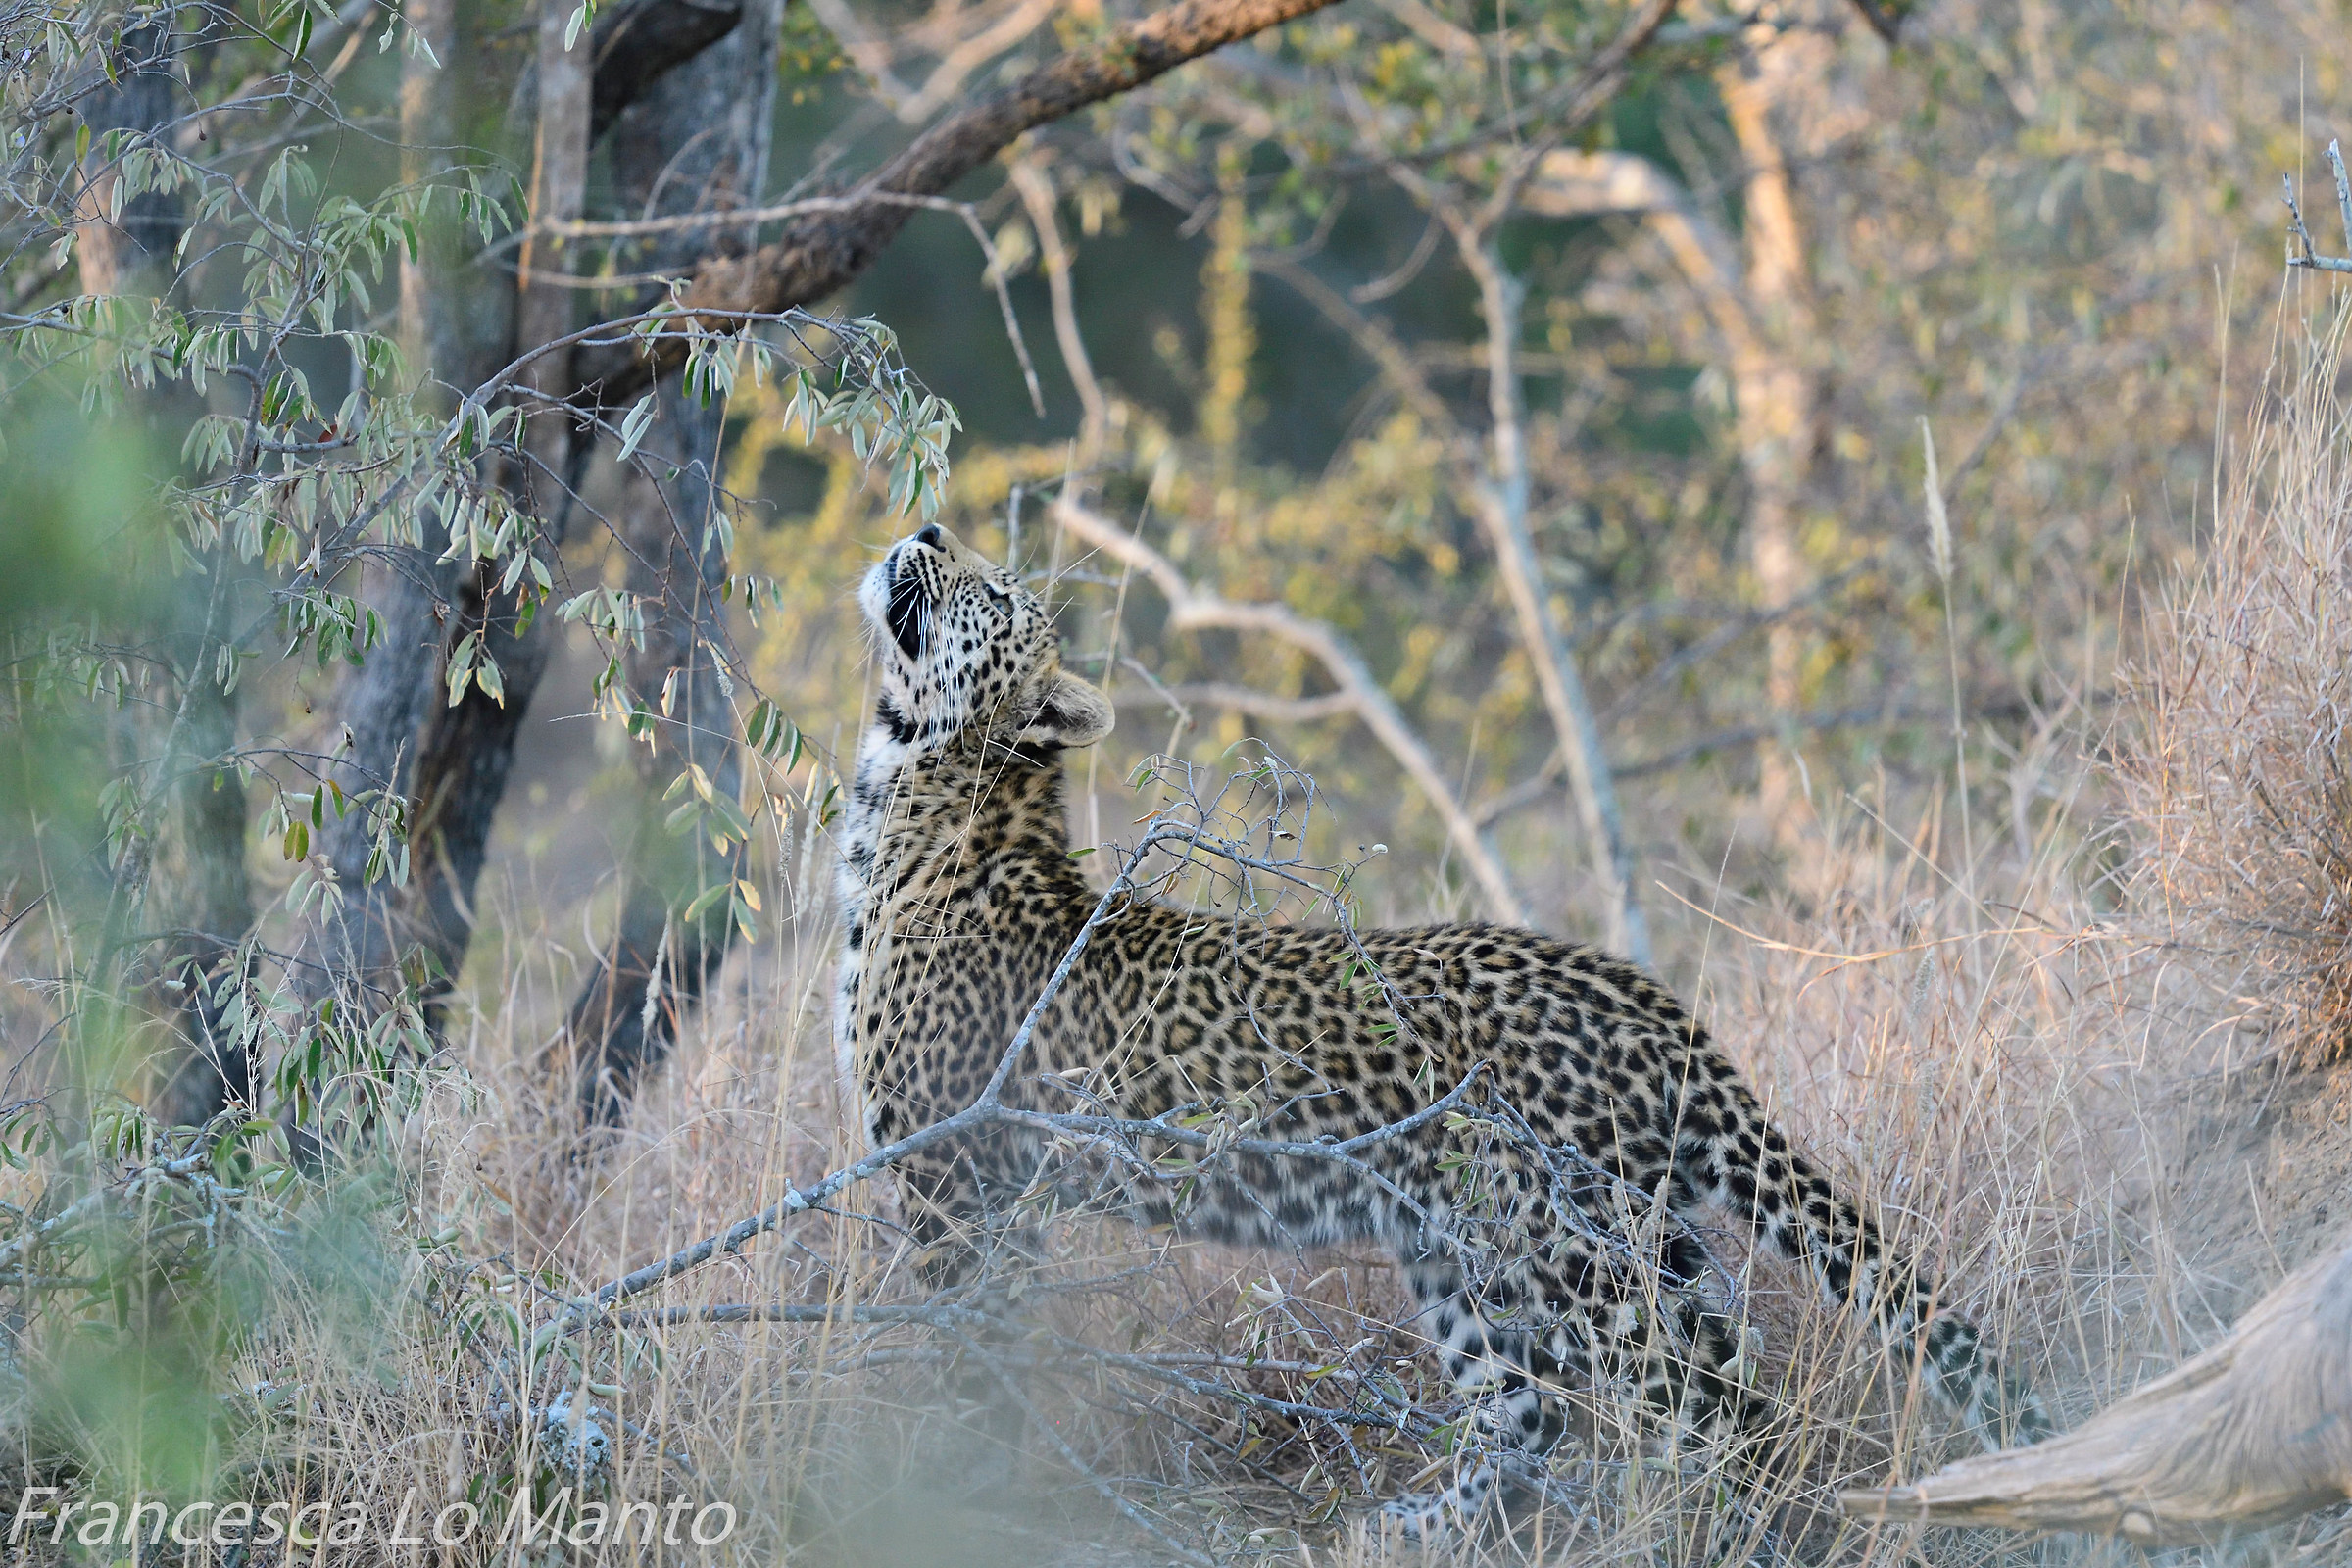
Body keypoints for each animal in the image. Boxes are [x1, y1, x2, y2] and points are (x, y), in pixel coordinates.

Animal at [834, 521, 2051, 1536]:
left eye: (997, 590)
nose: (929, 524)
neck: (906, 800)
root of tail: (1653, 1003)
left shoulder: (950, 1173)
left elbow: (969, 1354)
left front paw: (945, 1490)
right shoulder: (981, 1184)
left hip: (1569, 1254)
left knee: (1705, 1410)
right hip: (1533, 1248)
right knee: (1555, 1414)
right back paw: (1403, 1533)